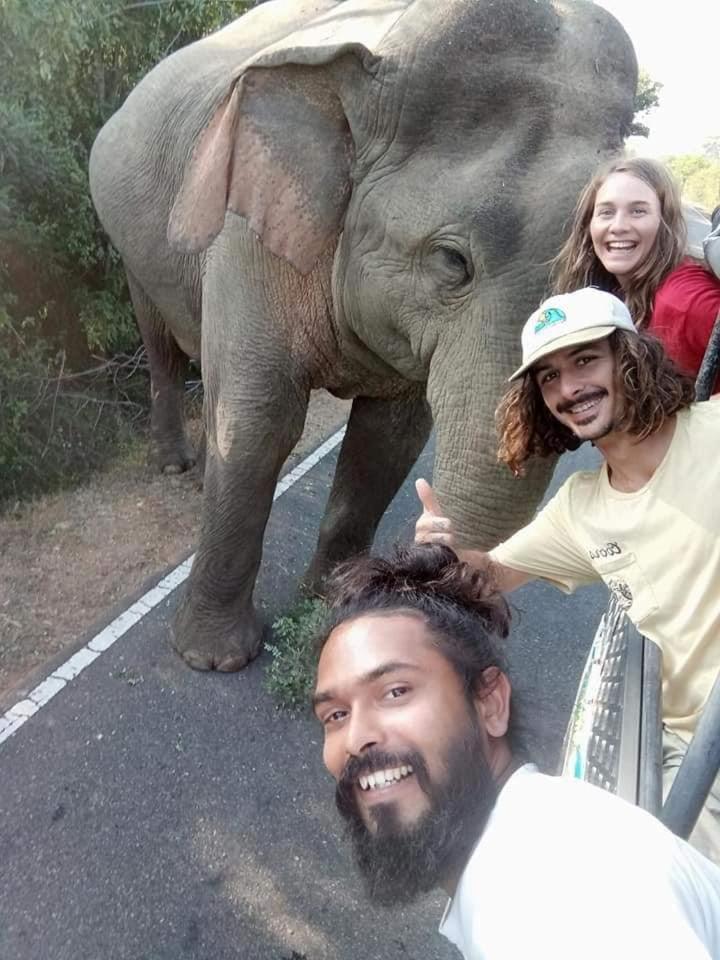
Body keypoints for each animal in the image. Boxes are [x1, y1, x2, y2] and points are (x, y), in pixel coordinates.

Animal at [90, 0, 636, 668]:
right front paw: (212, 659)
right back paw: (175, 466)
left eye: (603, 274)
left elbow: (389, 438)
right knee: (163, 343)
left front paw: (336, 604)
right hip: (134, 245)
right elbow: (258, 422)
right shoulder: (249, 232)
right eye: (451, 262)